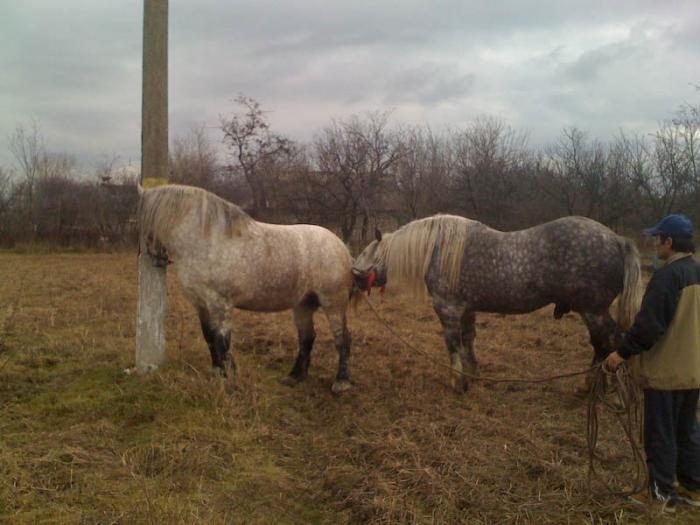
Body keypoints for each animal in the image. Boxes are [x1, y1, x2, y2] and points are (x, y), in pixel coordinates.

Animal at [138, 182, 356, 390]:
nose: (155, 257)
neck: (207, 241)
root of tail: (341, 246)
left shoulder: (221, 304)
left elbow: (222, 341)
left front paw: (228, 377)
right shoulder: (200, 303)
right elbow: (209, 337)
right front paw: (217, 372)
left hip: (333, 303)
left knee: (342, 338)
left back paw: (342, 382)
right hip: (303, 304)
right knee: (307, 338)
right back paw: (295, 376)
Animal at [352, 213, 644, 388]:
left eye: (367, 252)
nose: (354, 276)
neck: (439, 250)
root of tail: (616, 239)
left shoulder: (448, 309)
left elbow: (452, 343)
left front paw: (456, 381)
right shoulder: (466, 309)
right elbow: (468, 340)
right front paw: (473, 374)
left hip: (593, 311)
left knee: (608, 344)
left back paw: (592, 387)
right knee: (604, 344)